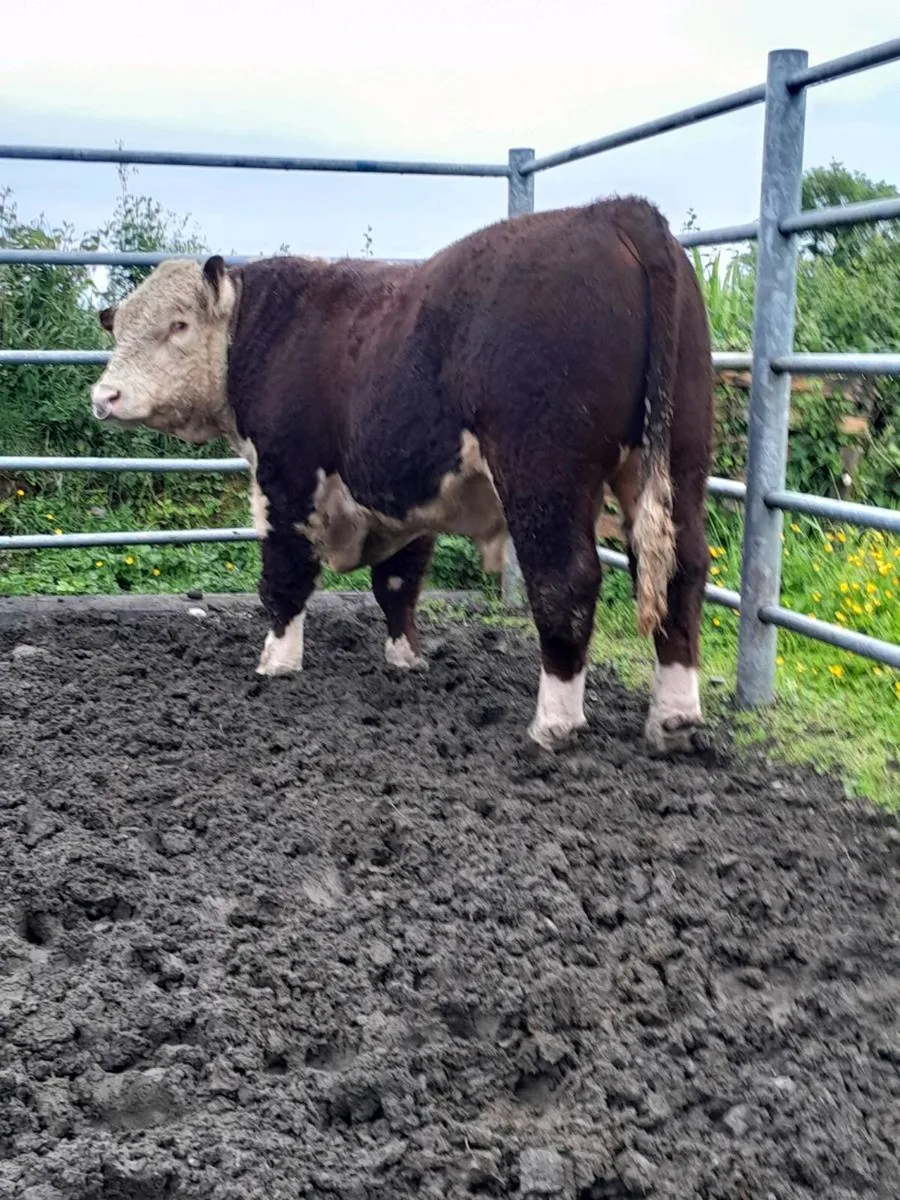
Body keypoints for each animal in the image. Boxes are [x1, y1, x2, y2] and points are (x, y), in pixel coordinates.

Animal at [90, 195, 714, 755]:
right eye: (119, 331)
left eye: (178, 324)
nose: (104, 396)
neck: (259, 330)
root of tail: (615, 209)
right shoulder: (404, 495)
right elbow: (397, 582)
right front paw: (406, 659)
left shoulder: (287, 479)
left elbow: (284, 579)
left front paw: (276, 664)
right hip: (679, 459)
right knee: (682, 571)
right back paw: (674, 720)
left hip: (545, 471)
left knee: (567, 580)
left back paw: (553, 724)